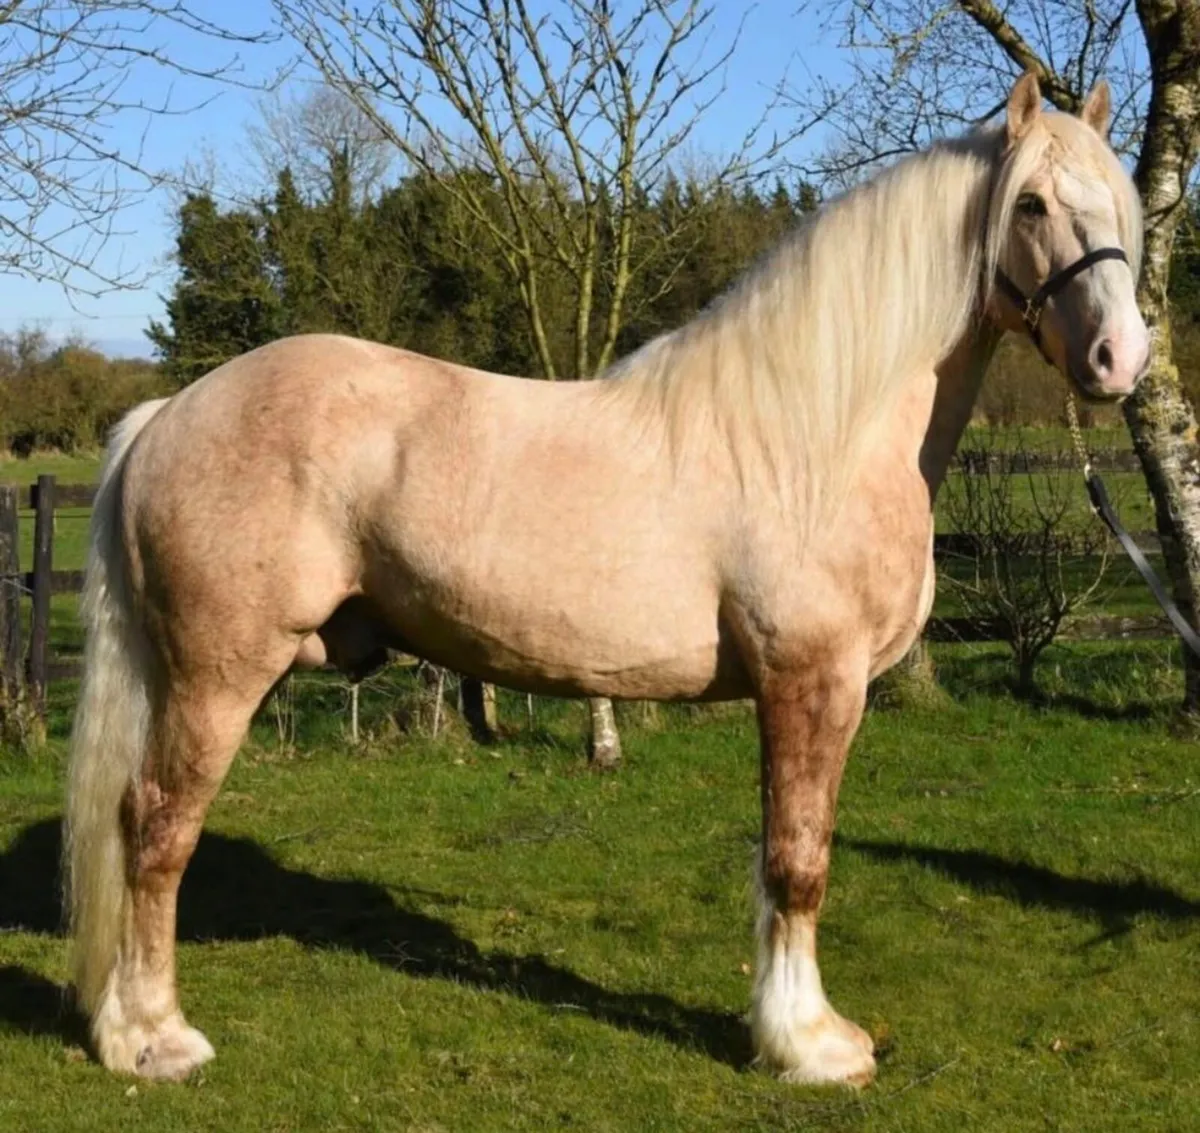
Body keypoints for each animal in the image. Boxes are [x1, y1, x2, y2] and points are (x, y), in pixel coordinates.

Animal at [64, 72, 1149, 1085]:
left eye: (1119, 197)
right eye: (1032, 204)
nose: (1119, 358)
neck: (816, 434)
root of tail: (168, 415)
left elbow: (782, 856)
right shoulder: (813, 682)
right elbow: (799, 861)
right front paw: (811, 1045)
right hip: (217, 677)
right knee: (155, 830)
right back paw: (154, 1040)